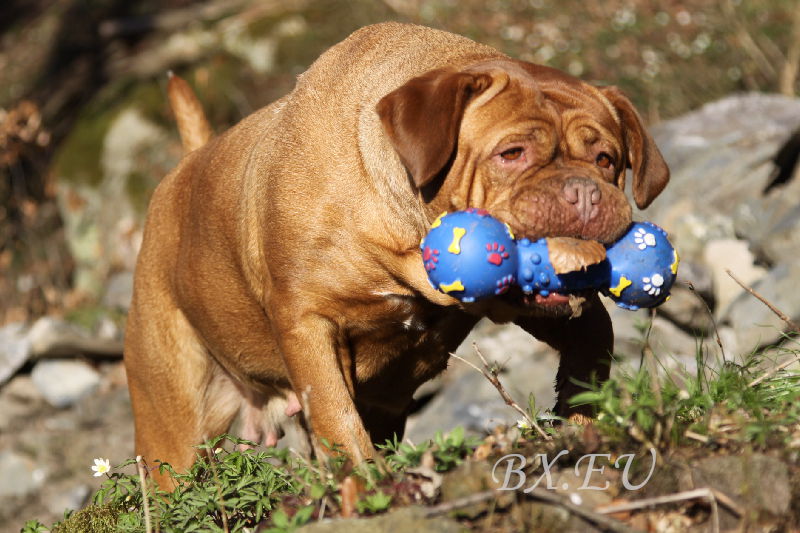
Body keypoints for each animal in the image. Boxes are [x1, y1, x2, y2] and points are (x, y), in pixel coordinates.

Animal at [125, 22, 668, 484]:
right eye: (511, 154)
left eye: (607, 159)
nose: (584, 192)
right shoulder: (307, 324)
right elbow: (337, 416)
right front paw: (366, 487)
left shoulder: (548, 310)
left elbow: (592, 346)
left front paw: (580, 427)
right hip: (172, 420)